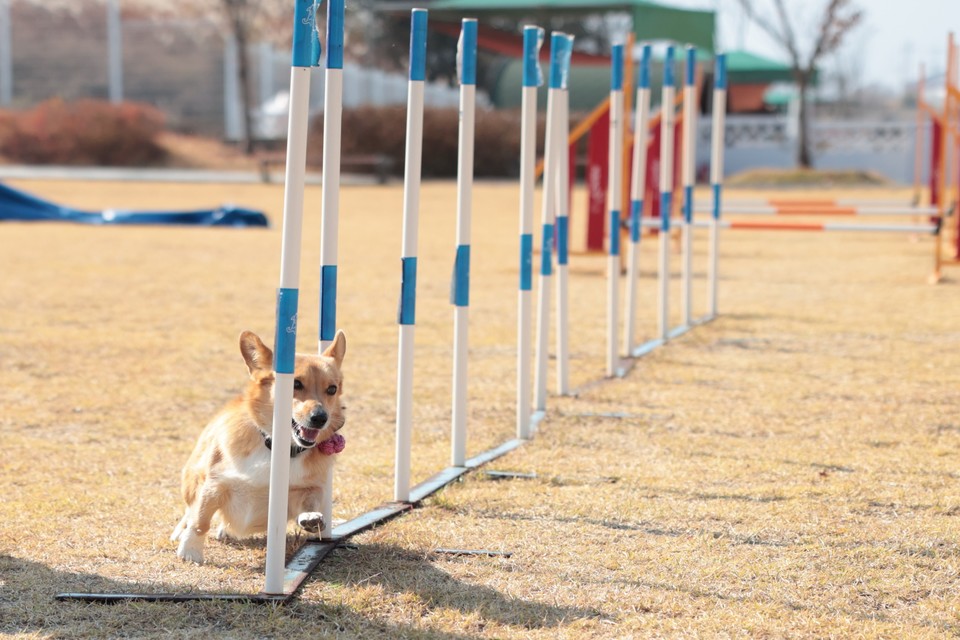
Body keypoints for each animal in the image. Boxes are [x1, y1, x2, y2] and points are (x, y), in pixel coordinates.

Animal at [171, 330, 346, 564]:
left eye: (332, 389)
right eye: (295, 384)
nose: (320, 418)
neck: (271, 444)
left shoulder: (308, 488)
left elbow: (311, 502)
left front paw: (311, 518)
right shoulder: (215, 484)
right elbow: (201, 520)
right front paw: (190, 551)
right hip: (193, 478)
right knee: (191, 511)